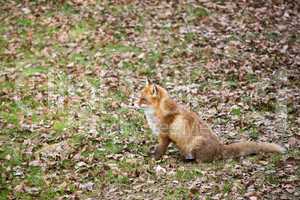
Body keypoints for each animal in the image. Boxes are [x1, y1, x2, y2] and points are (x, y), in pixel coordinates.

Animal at [137, 79, 284, 162]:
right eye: (139, 97)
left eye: (143, 99)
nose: (134, 104)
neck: (159, 113)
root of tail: (220, 147)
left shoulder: (164, 137)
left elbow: (158, 152)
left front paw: (152, 160)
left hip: (196, 144)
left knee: (201, 161)